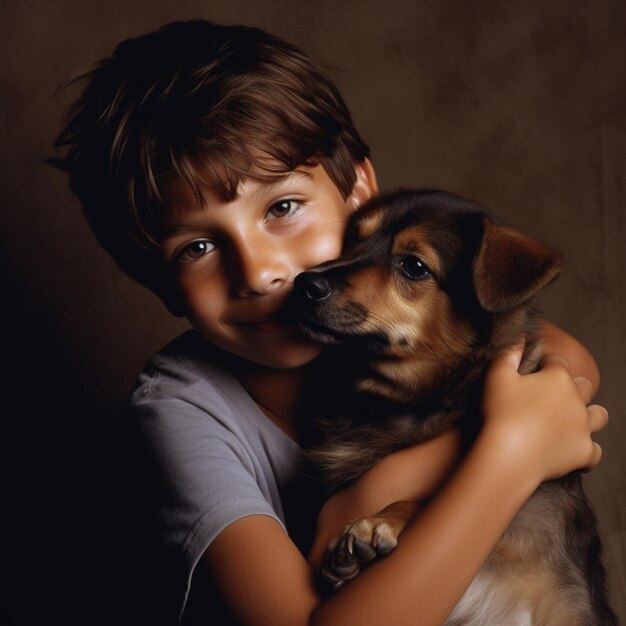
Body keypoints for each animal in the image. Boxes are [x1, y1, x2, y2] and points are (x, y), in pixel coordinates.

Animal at [292, 190, 616, 624]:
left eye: (414, 266)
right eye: (351, 241)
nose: (304, 282)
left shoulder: (521, 514)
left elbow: (432, 501)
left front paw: (378, 523)